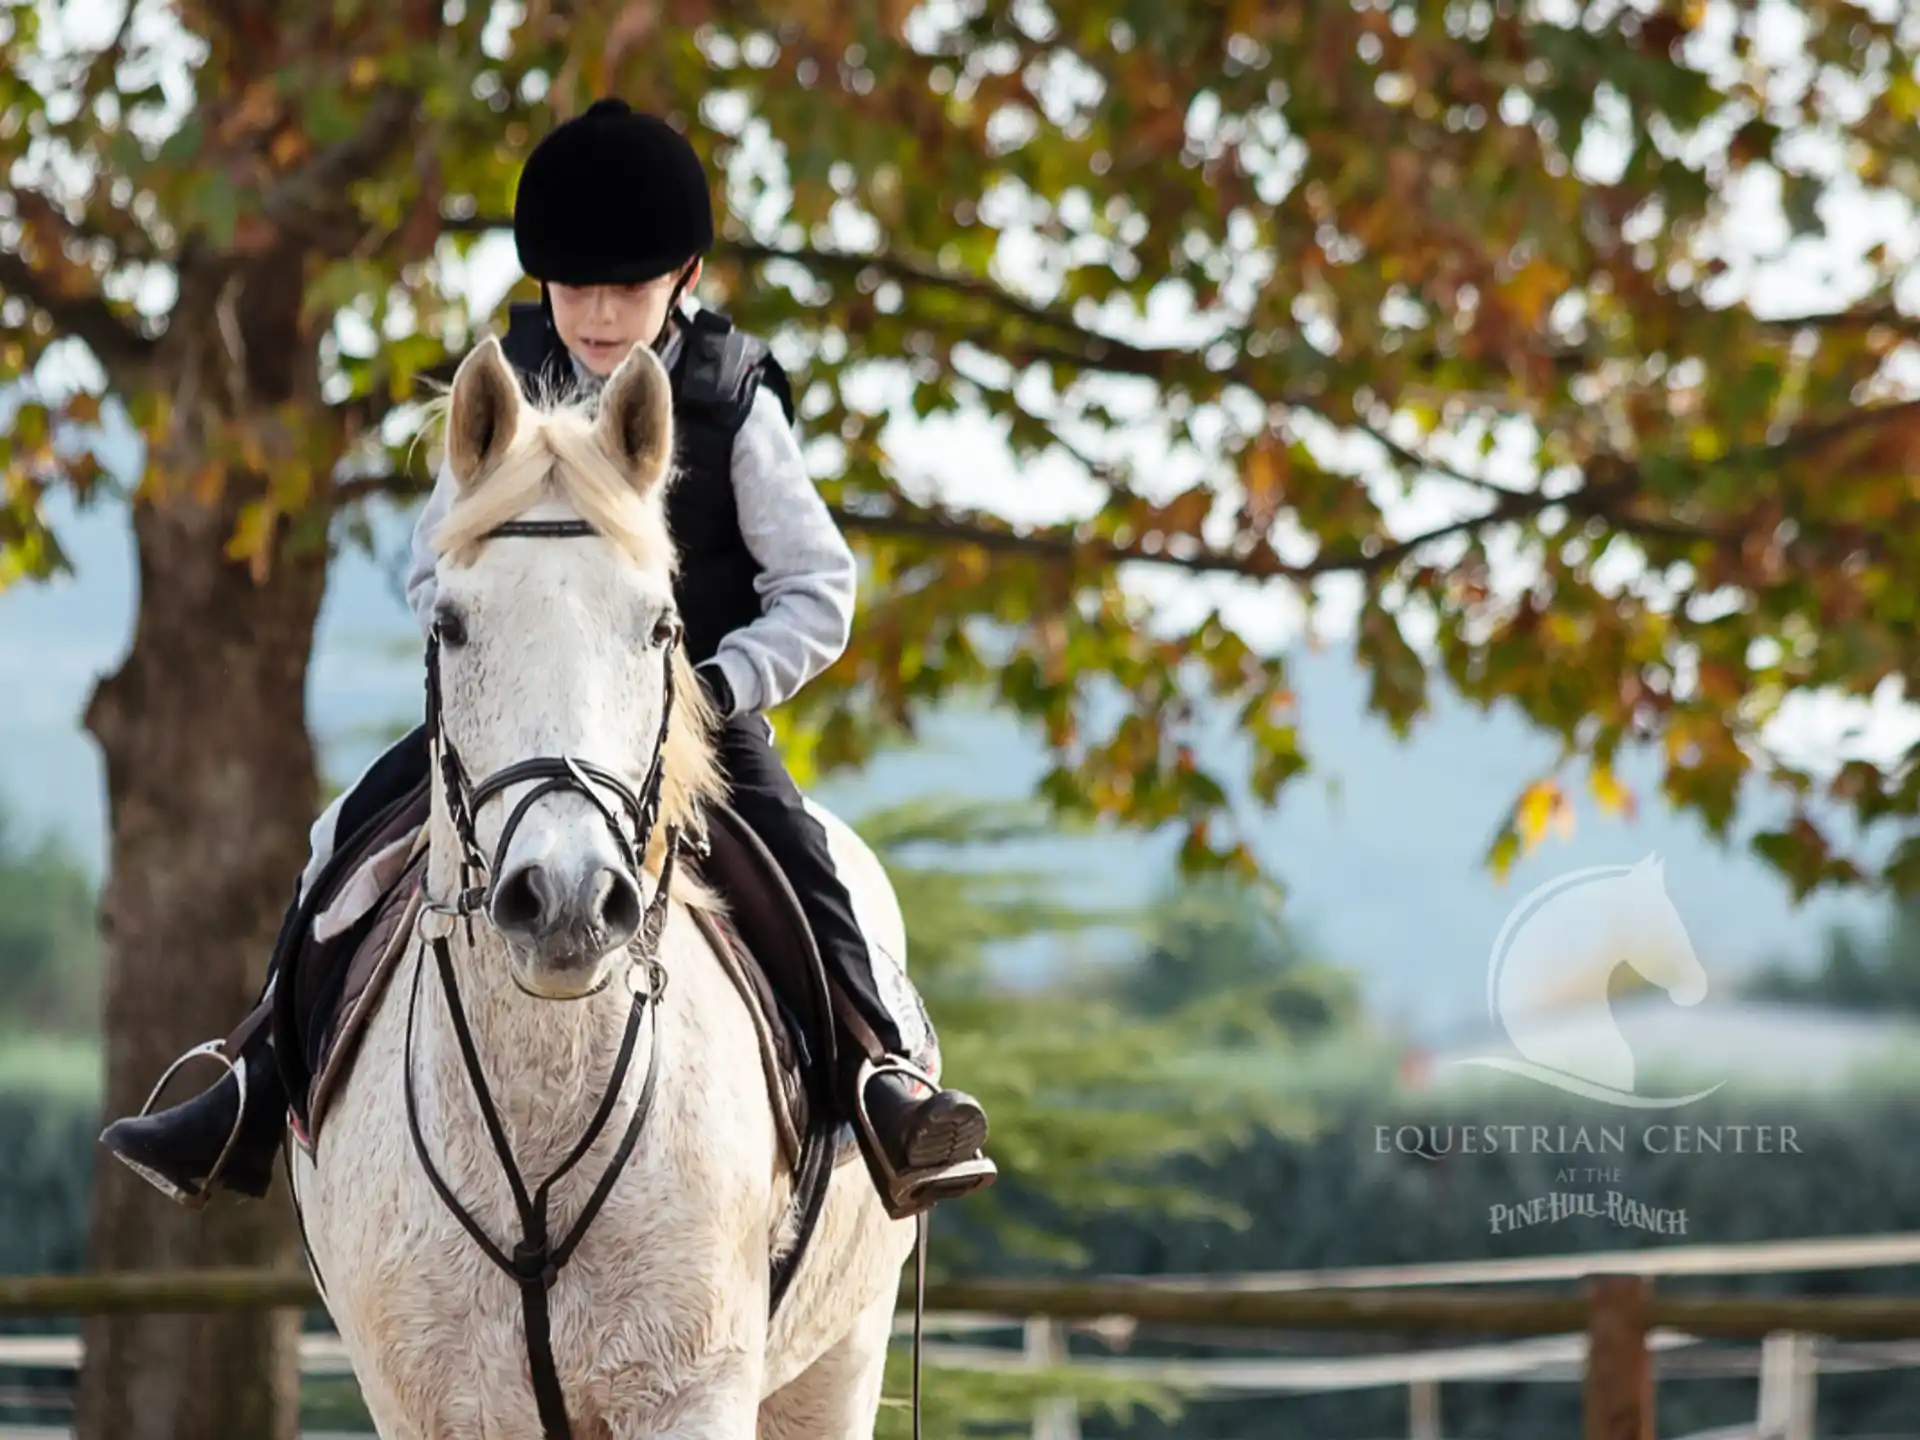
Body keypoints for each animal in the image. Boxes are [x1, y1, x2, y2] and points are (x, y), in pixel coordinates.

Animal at [287, 335, 919, 1438]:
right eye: (451, 624)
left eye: (661, 626)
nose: (568, 901)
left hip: (842, 1357)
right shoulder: (434, 1406)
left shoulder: (692, 1393)